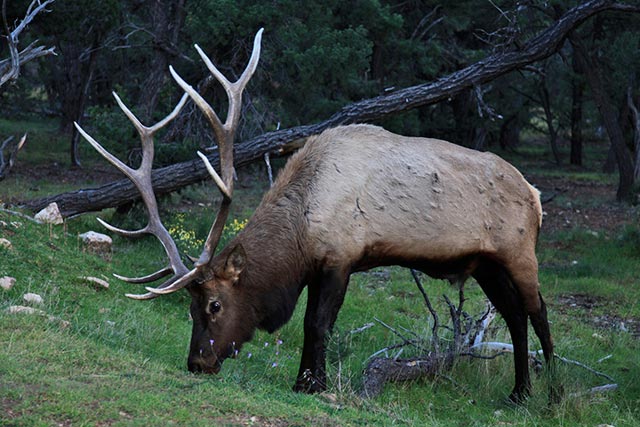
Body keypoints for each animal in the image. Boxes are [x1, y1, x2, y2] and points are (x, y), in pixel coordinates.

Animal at [76, 30, 556, 404]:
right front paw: (308, 379)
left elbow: (317, 323)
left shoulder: (340, 256)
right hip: (486, 264)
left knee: (538, 311)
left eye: (214, 304)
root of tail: (535, 196)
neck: (300, 231)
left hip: (520, 251)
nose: (198, 362)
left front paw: (309, 383)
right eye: (191, 306)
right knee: (514, 316)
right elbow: (315, 323)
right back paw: (519, 393)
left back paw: (551, 393)